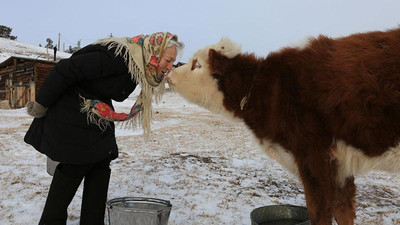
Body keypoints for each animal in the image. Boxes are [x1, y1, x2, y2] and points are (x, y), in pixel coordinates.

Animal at [165, 27, 400, 225]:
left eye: (196, 64)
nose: (170, 73)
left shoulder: (314, 158)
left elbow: (320, 213)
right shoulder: (341, 167)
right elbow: (344, 211)